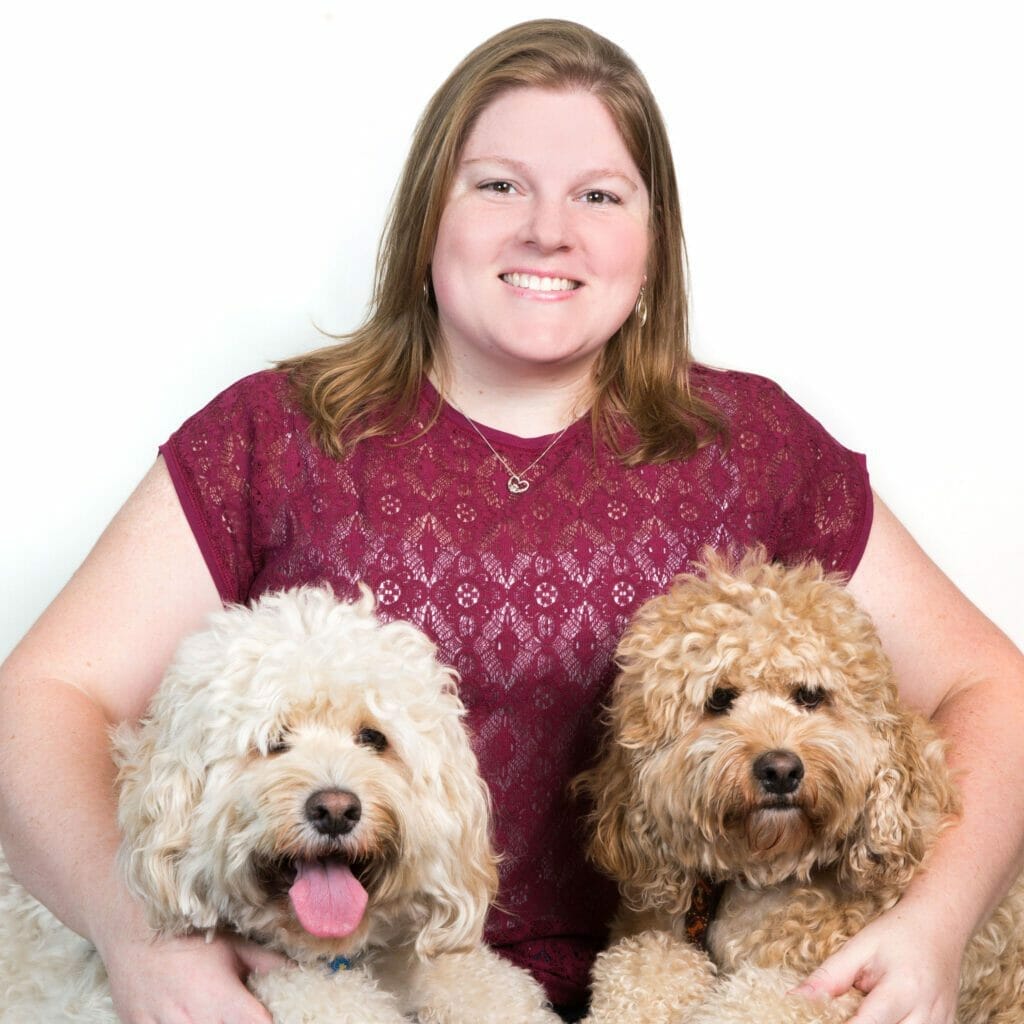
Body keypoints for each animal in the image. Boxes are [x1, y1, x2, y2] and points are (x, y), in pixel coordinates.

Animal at [575, 550, 1024, 1024]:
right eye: (719, 699)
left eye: (810, 695)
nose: (780, 770)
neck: (760, 870)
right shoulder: (652, 937)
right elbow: (643, 967)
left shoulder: (832, 990)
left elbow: (753, 1002)